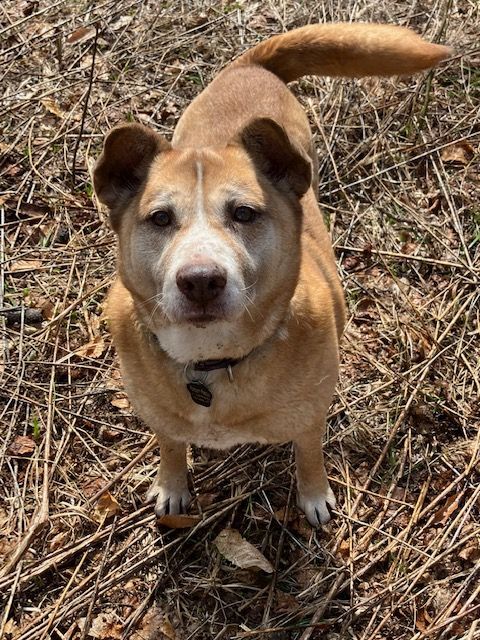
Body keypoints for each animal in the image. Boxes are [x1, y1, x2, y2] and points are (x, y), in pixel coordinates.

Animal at [94, 25, 450, 524]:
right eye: (160, 219)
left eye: (244, 213)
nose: (200, 280)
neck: (213, 361)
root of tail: (251, 65)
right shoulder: (158, 415)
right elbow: (171, 445)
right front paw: (172, 484)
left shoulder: (310, 416)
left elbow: (309, 455)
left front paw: (314, 497)